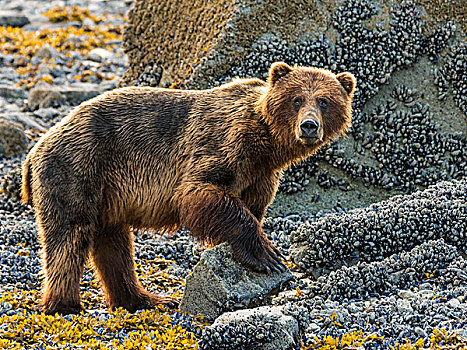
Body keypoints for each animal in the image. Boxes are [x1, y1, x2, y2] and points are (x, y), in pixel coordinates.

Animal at [21, 61, 354, 316]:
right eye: (296, 99)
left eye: (324, 101)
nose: (309, 126)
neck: (266, 146)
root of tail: (36, 147)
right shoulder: (222, 144)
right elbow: (200, 192)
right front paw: (267, 255)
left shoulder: (261, 176)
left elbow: (253, 206)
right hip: (78, 168)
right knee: (70, 235)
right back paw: (64, 305)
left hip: (107, 192)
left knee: (113, 244)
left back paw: (142, 298)